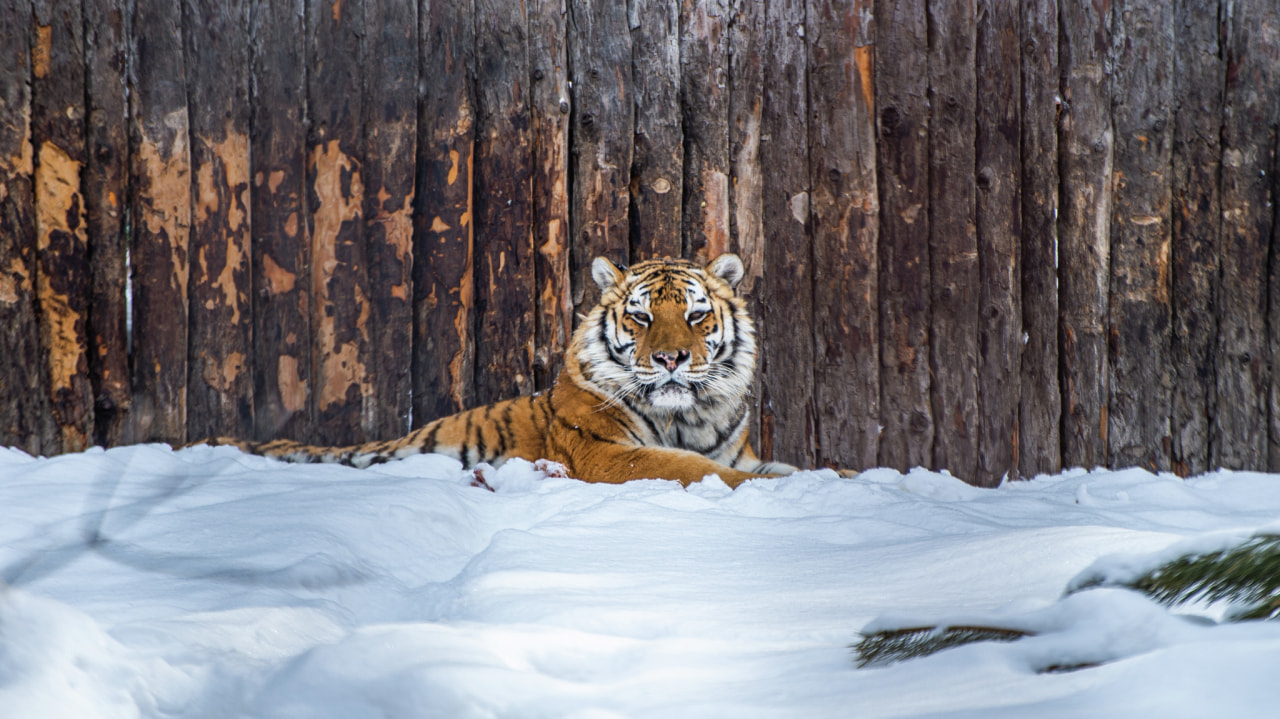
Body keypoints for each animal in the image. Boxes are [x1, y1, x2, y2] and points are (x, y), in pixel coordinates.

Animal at [198, 252, 793, 486]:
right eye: (642, 316)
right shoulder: (605, 454)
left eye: (695, 315)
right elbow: (692, 470)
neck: (684, 419)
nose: (671, 359)